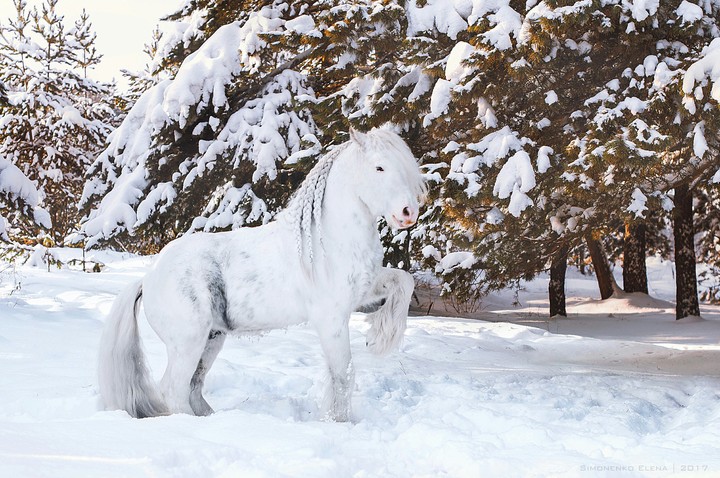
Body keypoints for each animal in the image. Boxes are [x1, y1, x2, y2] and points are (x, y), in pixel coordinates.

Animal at [98, 128, 426, 422]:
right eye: (379, 167)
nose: (408, 212)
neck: (323, 241)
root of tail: (147, 279)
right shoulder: (331, 319)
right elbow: (343, 375)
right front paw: (340, 423)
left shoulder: (365, 293)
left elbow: (404, 281)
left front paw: (379, 338)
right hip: (187, 344)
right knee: (173, 390)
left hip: (211, 340)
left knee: (193, 387)